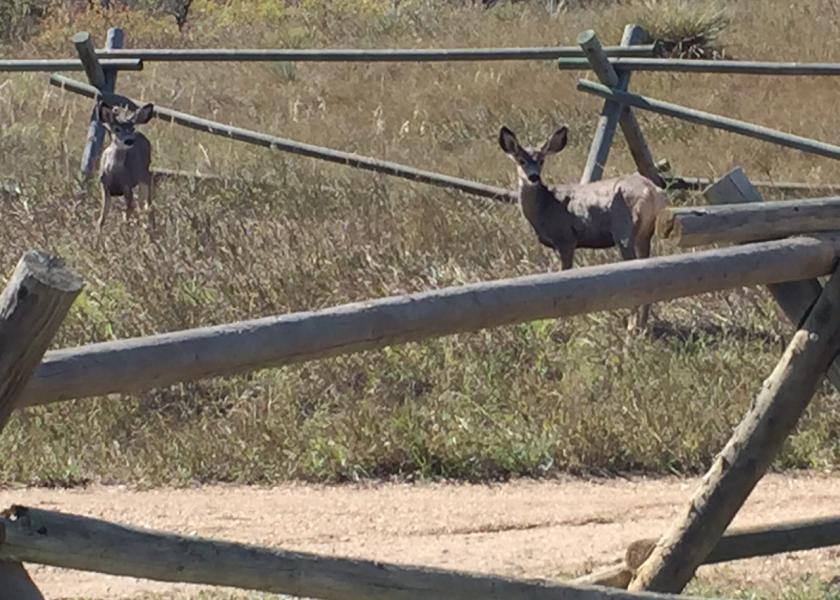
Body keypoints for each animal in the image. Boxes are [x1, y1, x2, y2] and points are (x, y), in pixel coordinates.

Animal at [99, 101, 158, 232]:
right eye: (117, 129)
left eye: (132, 128)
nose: (129, 140)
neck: (114, 173)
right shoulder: (104, 186)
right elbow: (101, 219)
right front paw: (97, 236)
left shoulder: (127, 186)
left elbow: (127, 214)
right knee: (140, 203)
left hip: (145, 174)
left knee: (147, 201)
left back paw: (150, 225)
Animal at [498, 125, 668, 332]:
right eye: (520, 160)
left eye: (541, 160)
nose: (533, 177)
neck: (546, 206)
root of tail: (653, 192)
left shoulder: (565, 238)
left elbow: (564, 277)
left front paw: (562, 324)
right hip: (645, 234)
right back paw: (642, 327)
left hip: (624, 230)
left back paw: (631, 328)